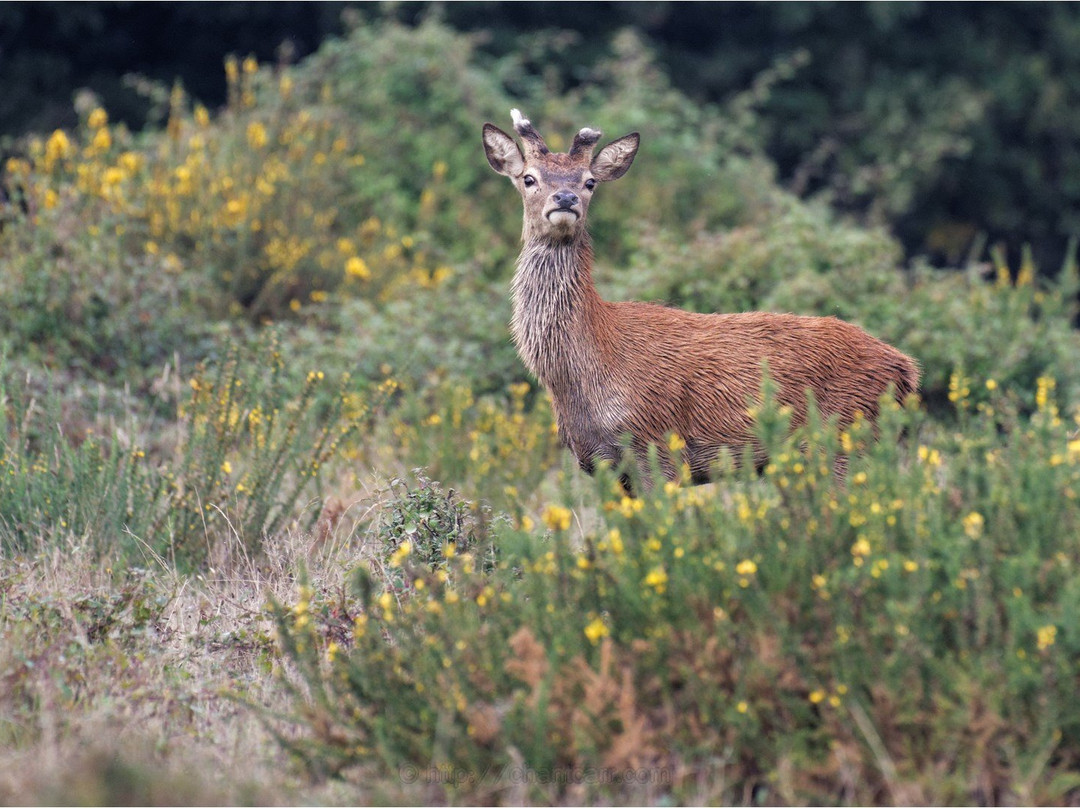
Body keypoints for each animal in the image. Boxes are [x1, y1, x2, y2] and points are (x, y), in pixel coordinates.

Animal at [483, 109, 920, 488]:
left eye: (590, 181)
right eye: (528, 178)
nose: (565, 199)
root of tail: (906, 370)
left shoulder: (656, 446)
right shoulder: (598, 462)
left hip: (845, 440)